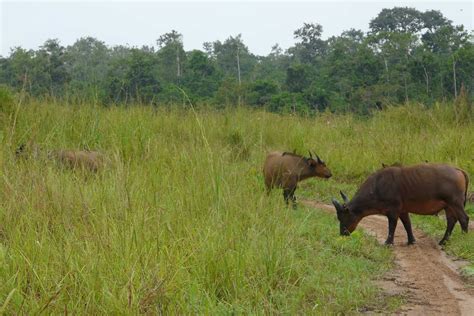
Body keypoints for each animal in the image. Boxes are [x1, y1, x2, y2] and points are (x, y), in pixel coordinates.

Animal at [332, 164, 468, 246]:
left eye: (342, 217)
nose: (342, 233)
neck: (377, 186)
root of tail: (458, 170)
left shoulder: (393, 211)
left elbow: (392, 226)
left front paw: (388, 242)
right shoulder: (403, 211)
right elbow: (407, 225)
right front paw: (411, 241)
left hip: (455, 203)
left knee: (464, 219)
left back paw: (463, 238)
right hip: (448, 206)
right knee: (452, 221)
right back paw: (443, 241)